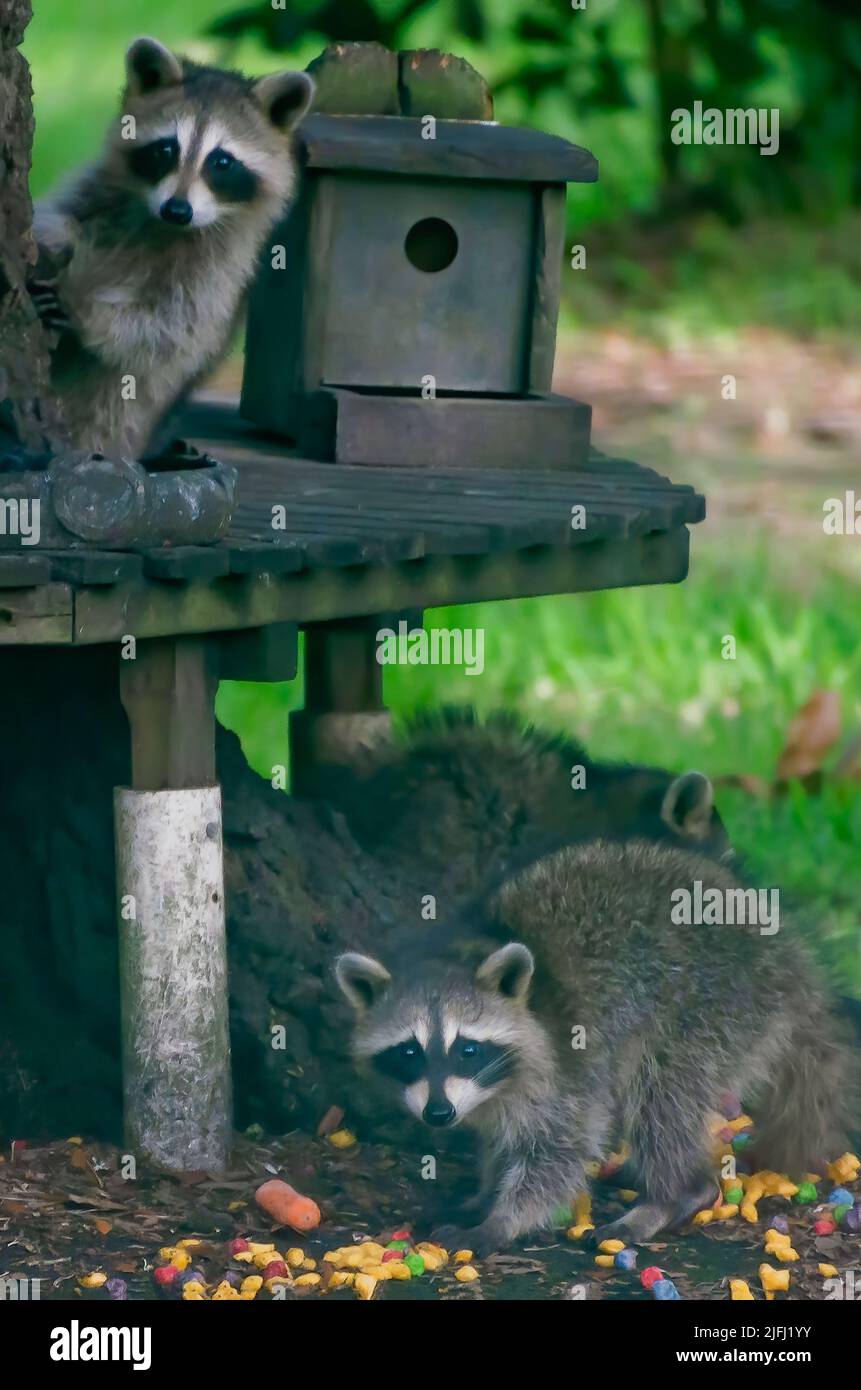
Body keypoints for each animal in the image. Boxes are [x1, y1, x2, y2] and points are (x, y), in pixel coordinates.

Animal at [33, 39, 317, 455]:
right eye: (166, 149)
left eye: (222, 161)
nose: (177, 209)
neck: (160, 223)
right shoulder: (94, 190)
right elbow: (60, 211)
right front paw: (51, 233)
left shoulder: (223, 267)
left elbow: (170, 329)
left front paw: (83, 305)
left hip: (118, 417)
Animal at [338, 839, 861, 1256]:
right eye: (409, 1052)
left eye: (467, 1049)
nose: (439, 1114)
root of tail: (788, 958)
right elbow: (501, 1140)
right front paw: (486, 1192)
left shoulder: (567, 1066)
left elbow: (559, 1150)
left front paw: (502, 1219)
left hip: (713, 1007)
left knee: (662, 1098)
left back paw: (673, 1194)